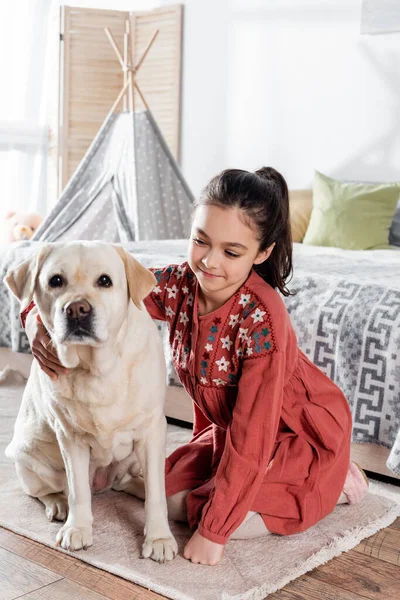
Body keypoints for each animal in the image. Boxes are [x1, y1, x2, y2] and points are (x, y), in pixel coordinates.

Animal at [4, 241, 177, 560]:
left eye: (105, 281)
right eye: (55, 280)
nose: (77, 309)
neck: (97, 369)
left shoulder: (152, 431)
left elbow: (156, 494)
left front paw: (159, 537)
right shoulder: (70, 437)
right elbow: (78, 491)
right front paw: (78, 529)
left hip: (131, 459)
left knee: (135, 482)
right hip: (28, 458)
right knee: (47, 490)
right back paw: (58, 504)